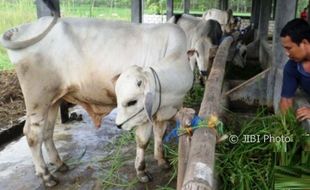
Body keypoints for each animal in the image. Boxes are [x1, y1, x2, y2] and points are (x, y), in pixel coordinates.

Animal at [115, 51, 193, 181]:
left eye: (132, 102)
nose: (118, 125)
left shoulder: (165, 112)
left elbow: (159, 135)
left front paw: (161, 160)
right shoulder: (145, 118)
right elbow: (143, 142)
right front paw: (141, 171)